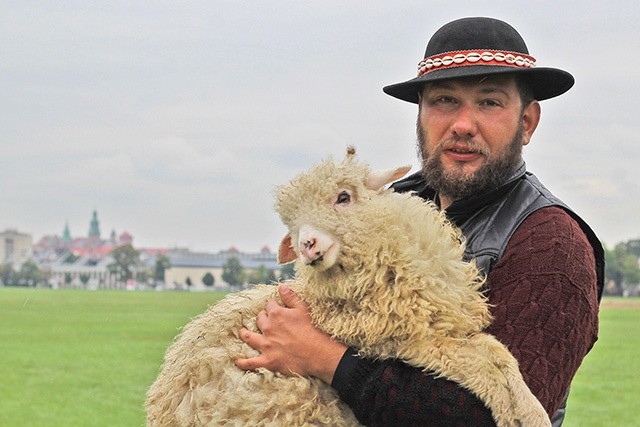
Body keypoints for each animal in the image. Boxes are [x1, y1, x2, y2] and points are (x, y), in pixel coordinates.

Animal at [145, 148, 552, 427]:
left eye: (343, 197)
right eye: (292, 224)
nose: (307, 245)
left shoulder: (434, 327)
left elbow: (498, 354)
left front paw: (530, 410)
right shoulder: (402, 339)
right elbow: (483, 363)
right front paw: (519, 414)